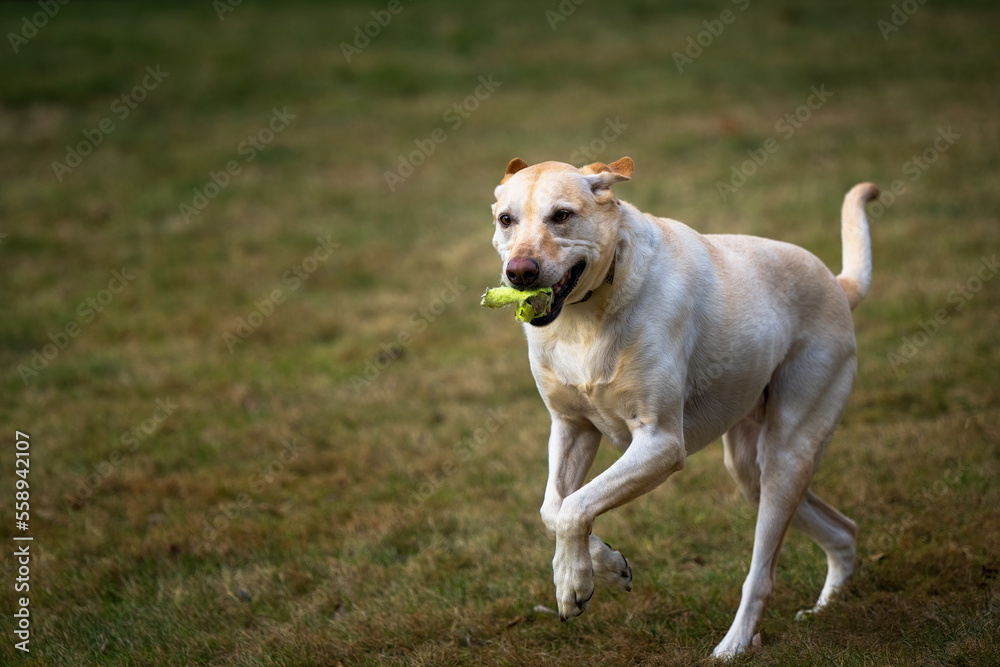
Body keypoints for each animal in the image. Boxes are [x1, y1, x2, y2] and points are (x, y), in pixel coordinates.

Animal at [490, 155, 876, 656]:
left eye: (561, 215)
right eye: (506, 220)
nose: (519, 272)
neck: (586, 316)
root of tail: (837, 282)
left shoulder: (661, 443)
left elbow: (576, 505)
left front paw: (573, 584)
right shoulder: (571, 427)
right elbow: (553, 509)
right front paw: (605, 566)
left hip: (787, 456)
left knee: (762, 574)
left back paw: (733, 645)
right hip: (750, 468)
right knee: (843, 530)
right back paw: (826, 607)